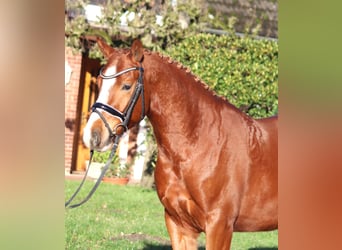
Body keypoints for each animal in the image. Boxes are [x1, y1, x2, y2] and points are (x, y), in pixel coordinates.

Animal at [83, 38, 278, 249]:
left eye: (126, 86)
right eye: (99, 82)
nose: (92, 135)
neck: (197, 144)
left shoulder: (220, 226)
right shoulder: (178, 223)